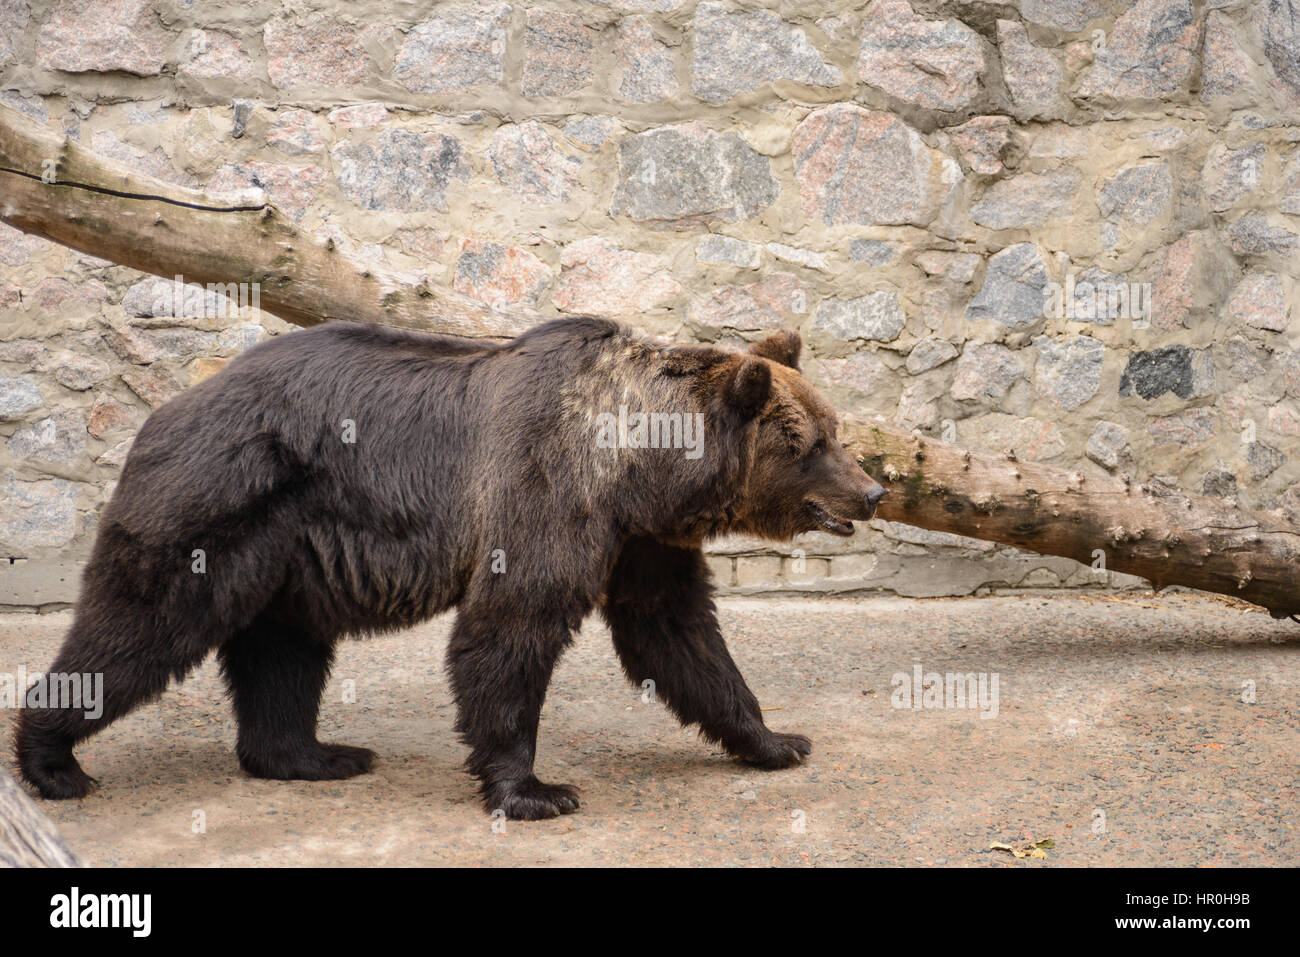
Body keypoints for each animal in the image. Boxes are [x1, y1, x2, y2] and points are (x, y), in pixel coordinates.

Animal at [12, 317, 883, 816]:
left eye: (835, 428)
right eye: (809, 442)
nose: (873, 490)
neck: (641, 466)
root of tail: (165, 406)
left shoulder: (643, 538)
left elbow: (679, 635)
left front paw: (777, 739)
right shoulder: (545, 492)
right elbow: (510, 628)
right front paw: (535, 788)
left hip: (288, 553)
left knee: (283, 653)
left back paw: (316, 754)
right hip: (217, 500)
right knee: (139, 625)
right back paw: (53, 763)